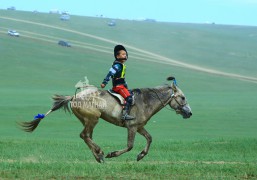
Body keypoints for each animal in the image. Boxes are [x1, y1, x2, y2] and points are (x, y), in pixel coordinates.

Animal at [20, 76, 191, 163]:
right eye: (183, 97)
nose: (189, 113)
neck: (146, 101)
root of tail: (74, 96)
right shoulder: (132, 127)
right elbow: (130, 146)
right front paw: (112, 154)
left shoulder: (139, 127)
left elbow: (149, 138)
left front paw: (141, 156)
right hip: (93, 118)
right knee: (84, 135)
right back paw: (101, 153)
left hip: (87, 120)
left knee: (87, 137)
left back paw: (98, 156)